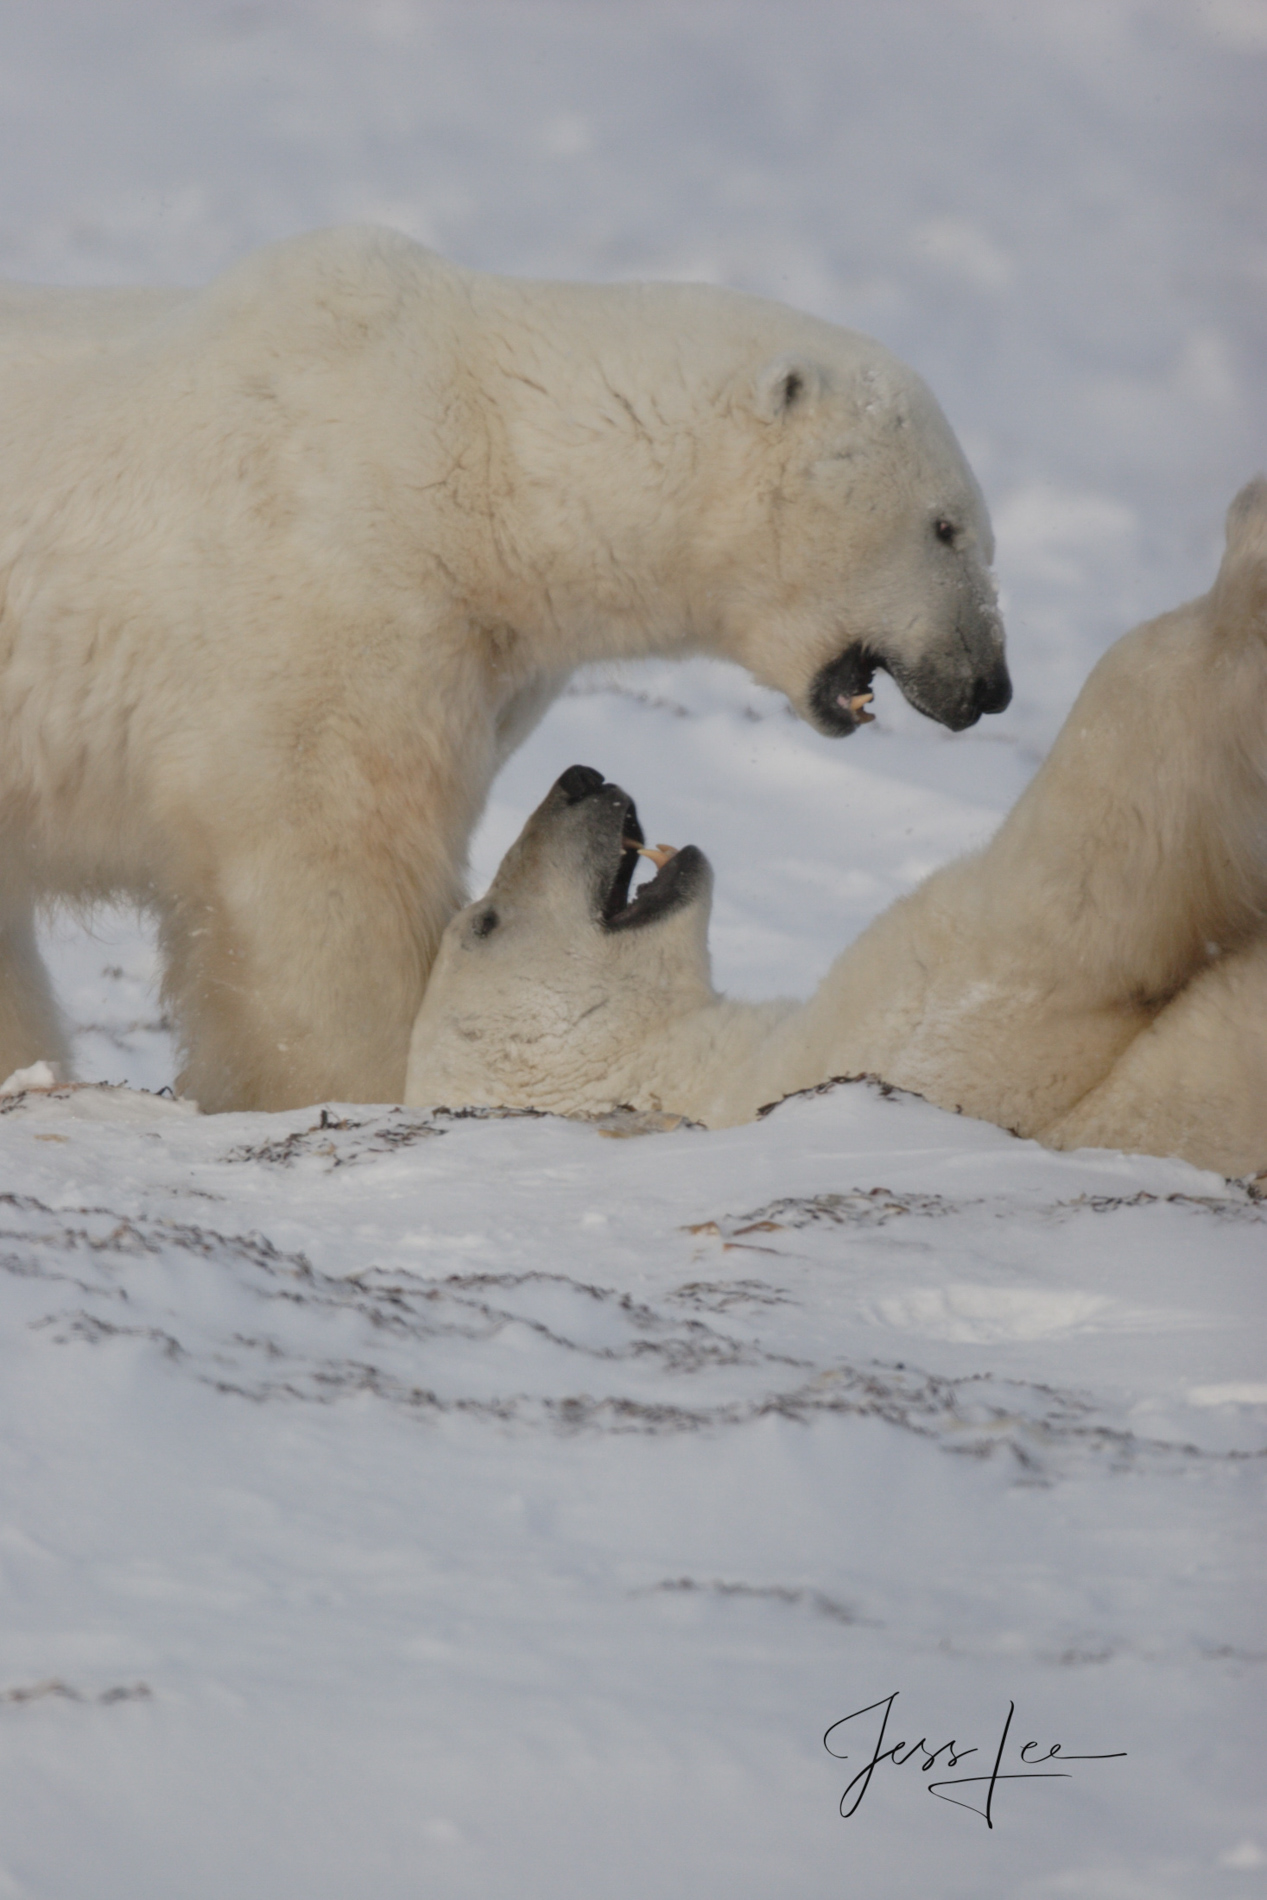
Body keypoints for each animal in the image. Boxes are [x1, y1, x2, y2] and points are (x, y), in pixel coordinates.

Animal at [0, 222, 1010, 1109]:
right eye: (946, 527)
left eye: (971, 530)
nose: (988, 685)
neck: (485, 456)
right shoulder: (328, 598)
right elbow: (329, 879)